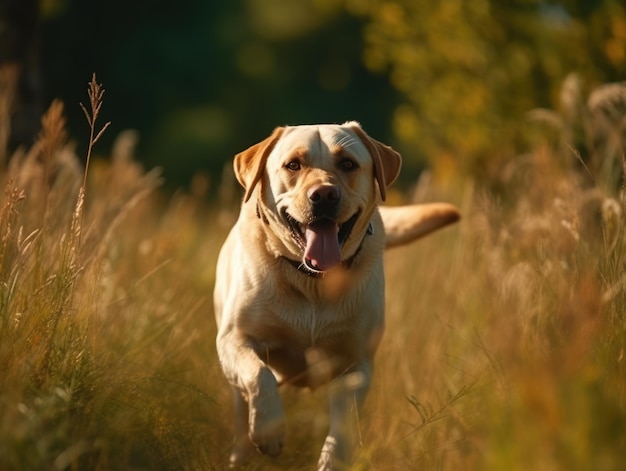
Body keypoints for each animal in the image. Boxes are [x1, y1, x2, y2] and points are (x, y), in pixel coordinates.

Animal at [214, 123, 458, 470]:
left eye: (347, 164)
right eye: (293, 165)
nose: (325, 195)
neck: (313, 282)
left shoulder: (356, 364)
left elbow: (343, 426)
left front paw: (333, 460)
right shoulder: (235, 339)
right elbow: (259, 374)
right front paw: (269, 430)